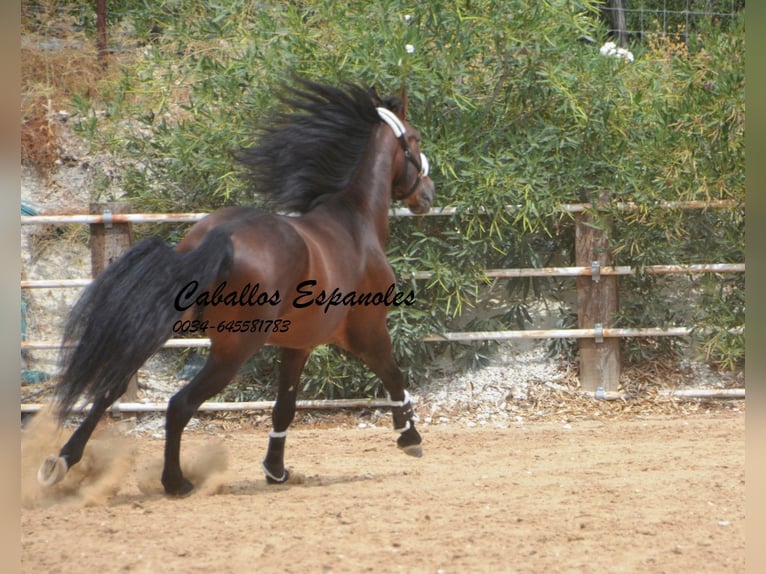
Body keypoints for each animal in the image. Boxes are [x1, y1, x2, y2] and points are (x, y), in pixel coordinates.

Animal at [37, 77, 438, 500]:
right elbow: (394, 376)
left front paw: (276, 470)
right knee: (179, 404)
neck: (355, 224)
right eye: (414, 139)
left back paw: (61, 462)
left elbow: (284, 407)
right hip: (234, 348)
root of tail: (221, 234)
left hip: (169, 326)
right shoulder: (368, 331)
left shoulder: (297, 344)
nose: (428, 194)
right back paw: (176, 482)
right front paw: (410, 438)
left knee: (110, 386)